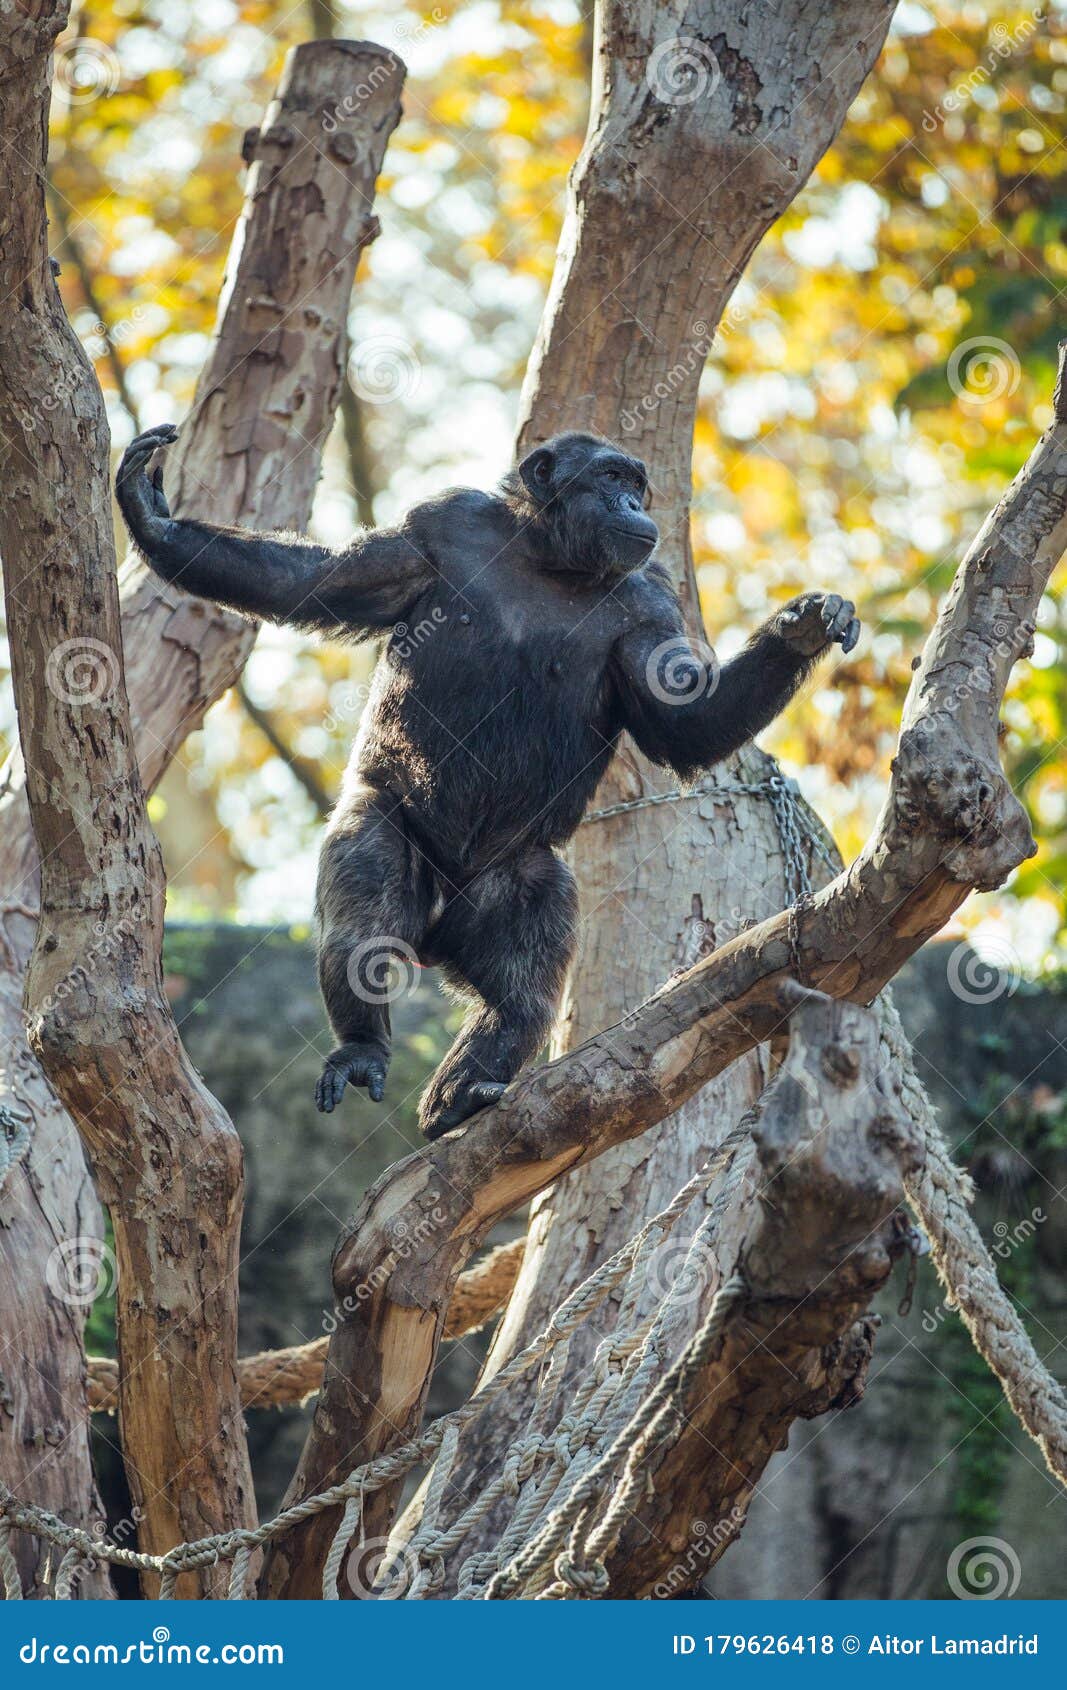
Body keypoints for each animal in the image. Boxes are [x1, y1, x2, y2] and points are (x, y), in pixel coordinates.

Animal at [114, 425, 859, 1135]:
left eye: (635, 485)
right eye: (612, 478)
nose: (633, 506)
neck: (549, 561)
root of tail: (434, 940)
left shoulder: (651, 604)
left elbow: (683, 723)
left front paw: (803, 628)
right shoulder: (438, 525)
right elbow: (310, 581)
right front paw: (152, 518)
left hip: (514, 882)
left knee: (521, 993)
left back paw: (459, 1097)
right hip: (389, 831)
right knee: (364, 925)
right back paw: (362, 1048)